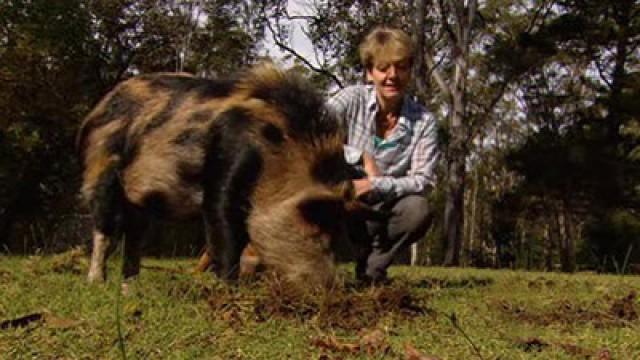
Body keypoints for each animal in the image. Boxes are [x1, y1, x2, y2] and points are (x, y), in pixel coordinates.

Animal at [77, 62, 362, 286]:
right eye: (317, 227)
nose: (331, 286)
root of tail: (94, 112)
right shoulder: (228, 161)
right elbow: (223, 221)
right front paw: (229, 287)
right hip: (101, 165)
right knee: (104, 227)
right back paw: (96, 282)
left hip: (140, 203)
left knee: (134, 237)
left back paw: (131, 288)